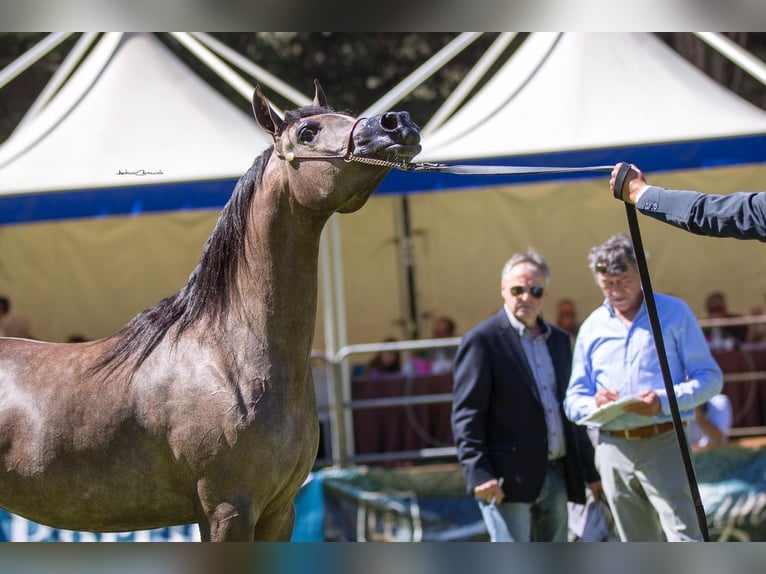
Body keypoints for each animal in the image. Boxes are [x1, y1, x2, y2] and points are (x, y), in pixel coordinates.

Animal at [0, 82, 424, 544]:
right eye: (308, 132)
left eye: (345, 115)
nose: (397, 123)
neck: (231, 355)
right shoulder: (226, 510)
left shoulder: (279, 513)